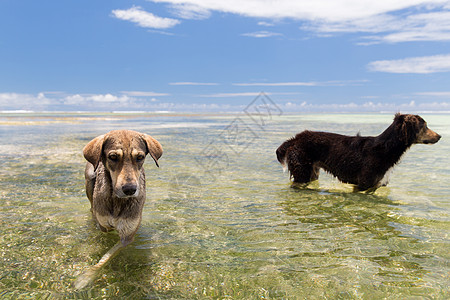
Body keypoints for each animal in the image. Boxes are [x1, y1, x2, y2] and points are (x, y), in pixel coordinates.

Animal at [74, 130, 163, 290]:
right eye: (113, 157)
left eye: (140, 157)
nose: (130, 189)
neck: (117, 201)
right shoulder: (103, 225)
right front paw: (87, 277)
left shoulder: (127, 235)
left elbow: (108, 255)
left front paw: (88, 276)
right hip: (90, 179)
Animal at [276, 113, 442, 191]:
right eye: (424, 126)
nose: (440, 136)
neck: (386, 148)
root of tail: (294, 139)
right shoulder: (362, 185)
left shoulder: (376, 186)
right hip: (302, 172)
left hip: (313, 172)